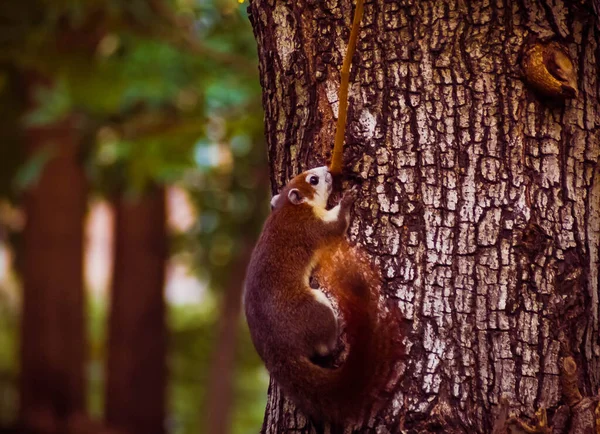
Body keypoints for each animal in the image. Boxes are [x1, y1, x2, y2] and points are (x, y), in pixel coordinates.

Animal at [244, 166, 404, 424]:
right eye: (313, 179)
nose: (328, 169)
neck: (289, 207)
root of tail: (278, 353)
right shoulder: (313, 227)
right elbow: (337, 226)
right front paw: (347, 199)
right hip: (315, 308)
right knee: (324, 345)